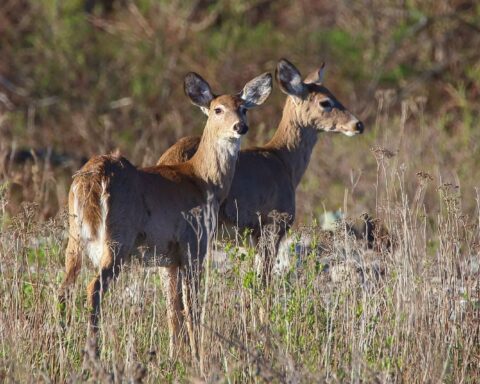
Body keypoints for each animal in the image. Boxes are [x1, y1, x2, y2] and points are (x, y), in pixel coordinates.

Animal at [59, 71, 274, 360]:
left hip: (74, 238)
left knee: (65, 287)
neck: (203, 180)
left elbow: (173, 307)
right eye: (218, 109)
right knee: (94, 288)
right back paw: (93, 352)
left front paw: (177, 355)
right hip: (117, 239)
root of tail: (93, 176)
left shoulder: (169, 258)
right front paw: (197, 354)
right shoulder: (193, 244)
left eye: (244, 108)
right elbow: (192, 305)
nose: (240, 127)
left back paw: (62, 343)